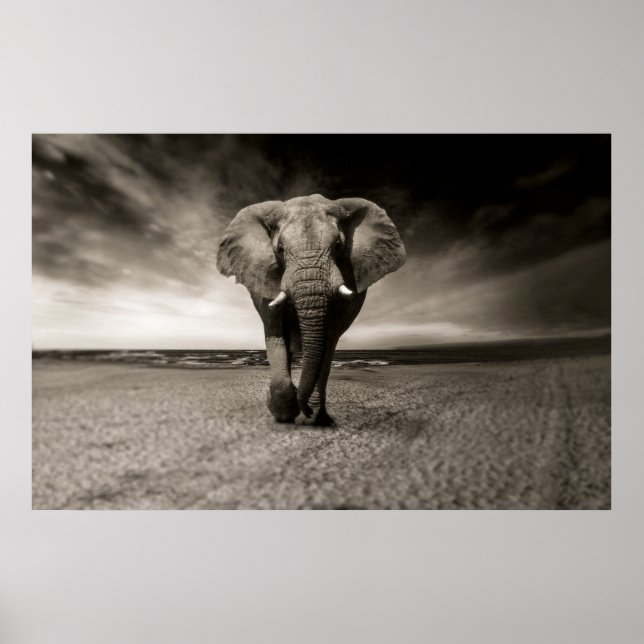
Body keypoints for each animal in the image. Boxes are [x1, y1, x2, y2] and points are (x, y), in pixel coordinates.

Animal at [216, 194, 406, 426]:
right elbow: (275, 333)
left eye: (338, 245)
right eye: (280, 249)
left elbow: (328, 339)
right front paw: (284, 413)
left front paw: (311, 415)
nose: (304, 410)